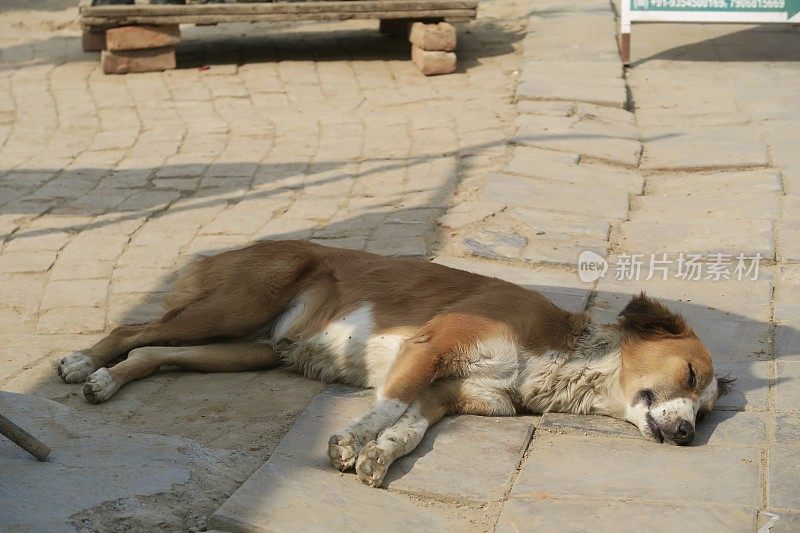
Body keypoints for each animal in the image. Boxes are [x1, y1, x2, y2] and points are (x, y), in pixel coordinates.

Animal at [57, 240, 732, 486]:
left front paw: (377, 457)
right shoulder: (428, 349)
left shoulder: (450, 395)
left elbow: (407, 429)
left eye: (705, 413)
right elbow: (385, 407)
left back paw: (107, 381)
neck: (555, 355)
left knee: (153, 351)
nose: (685, 435)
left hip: (246, 349)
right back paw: (80, 363)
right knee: (133, 328)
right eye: (690, 376)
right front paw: (348, 442)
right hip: (234, 305)